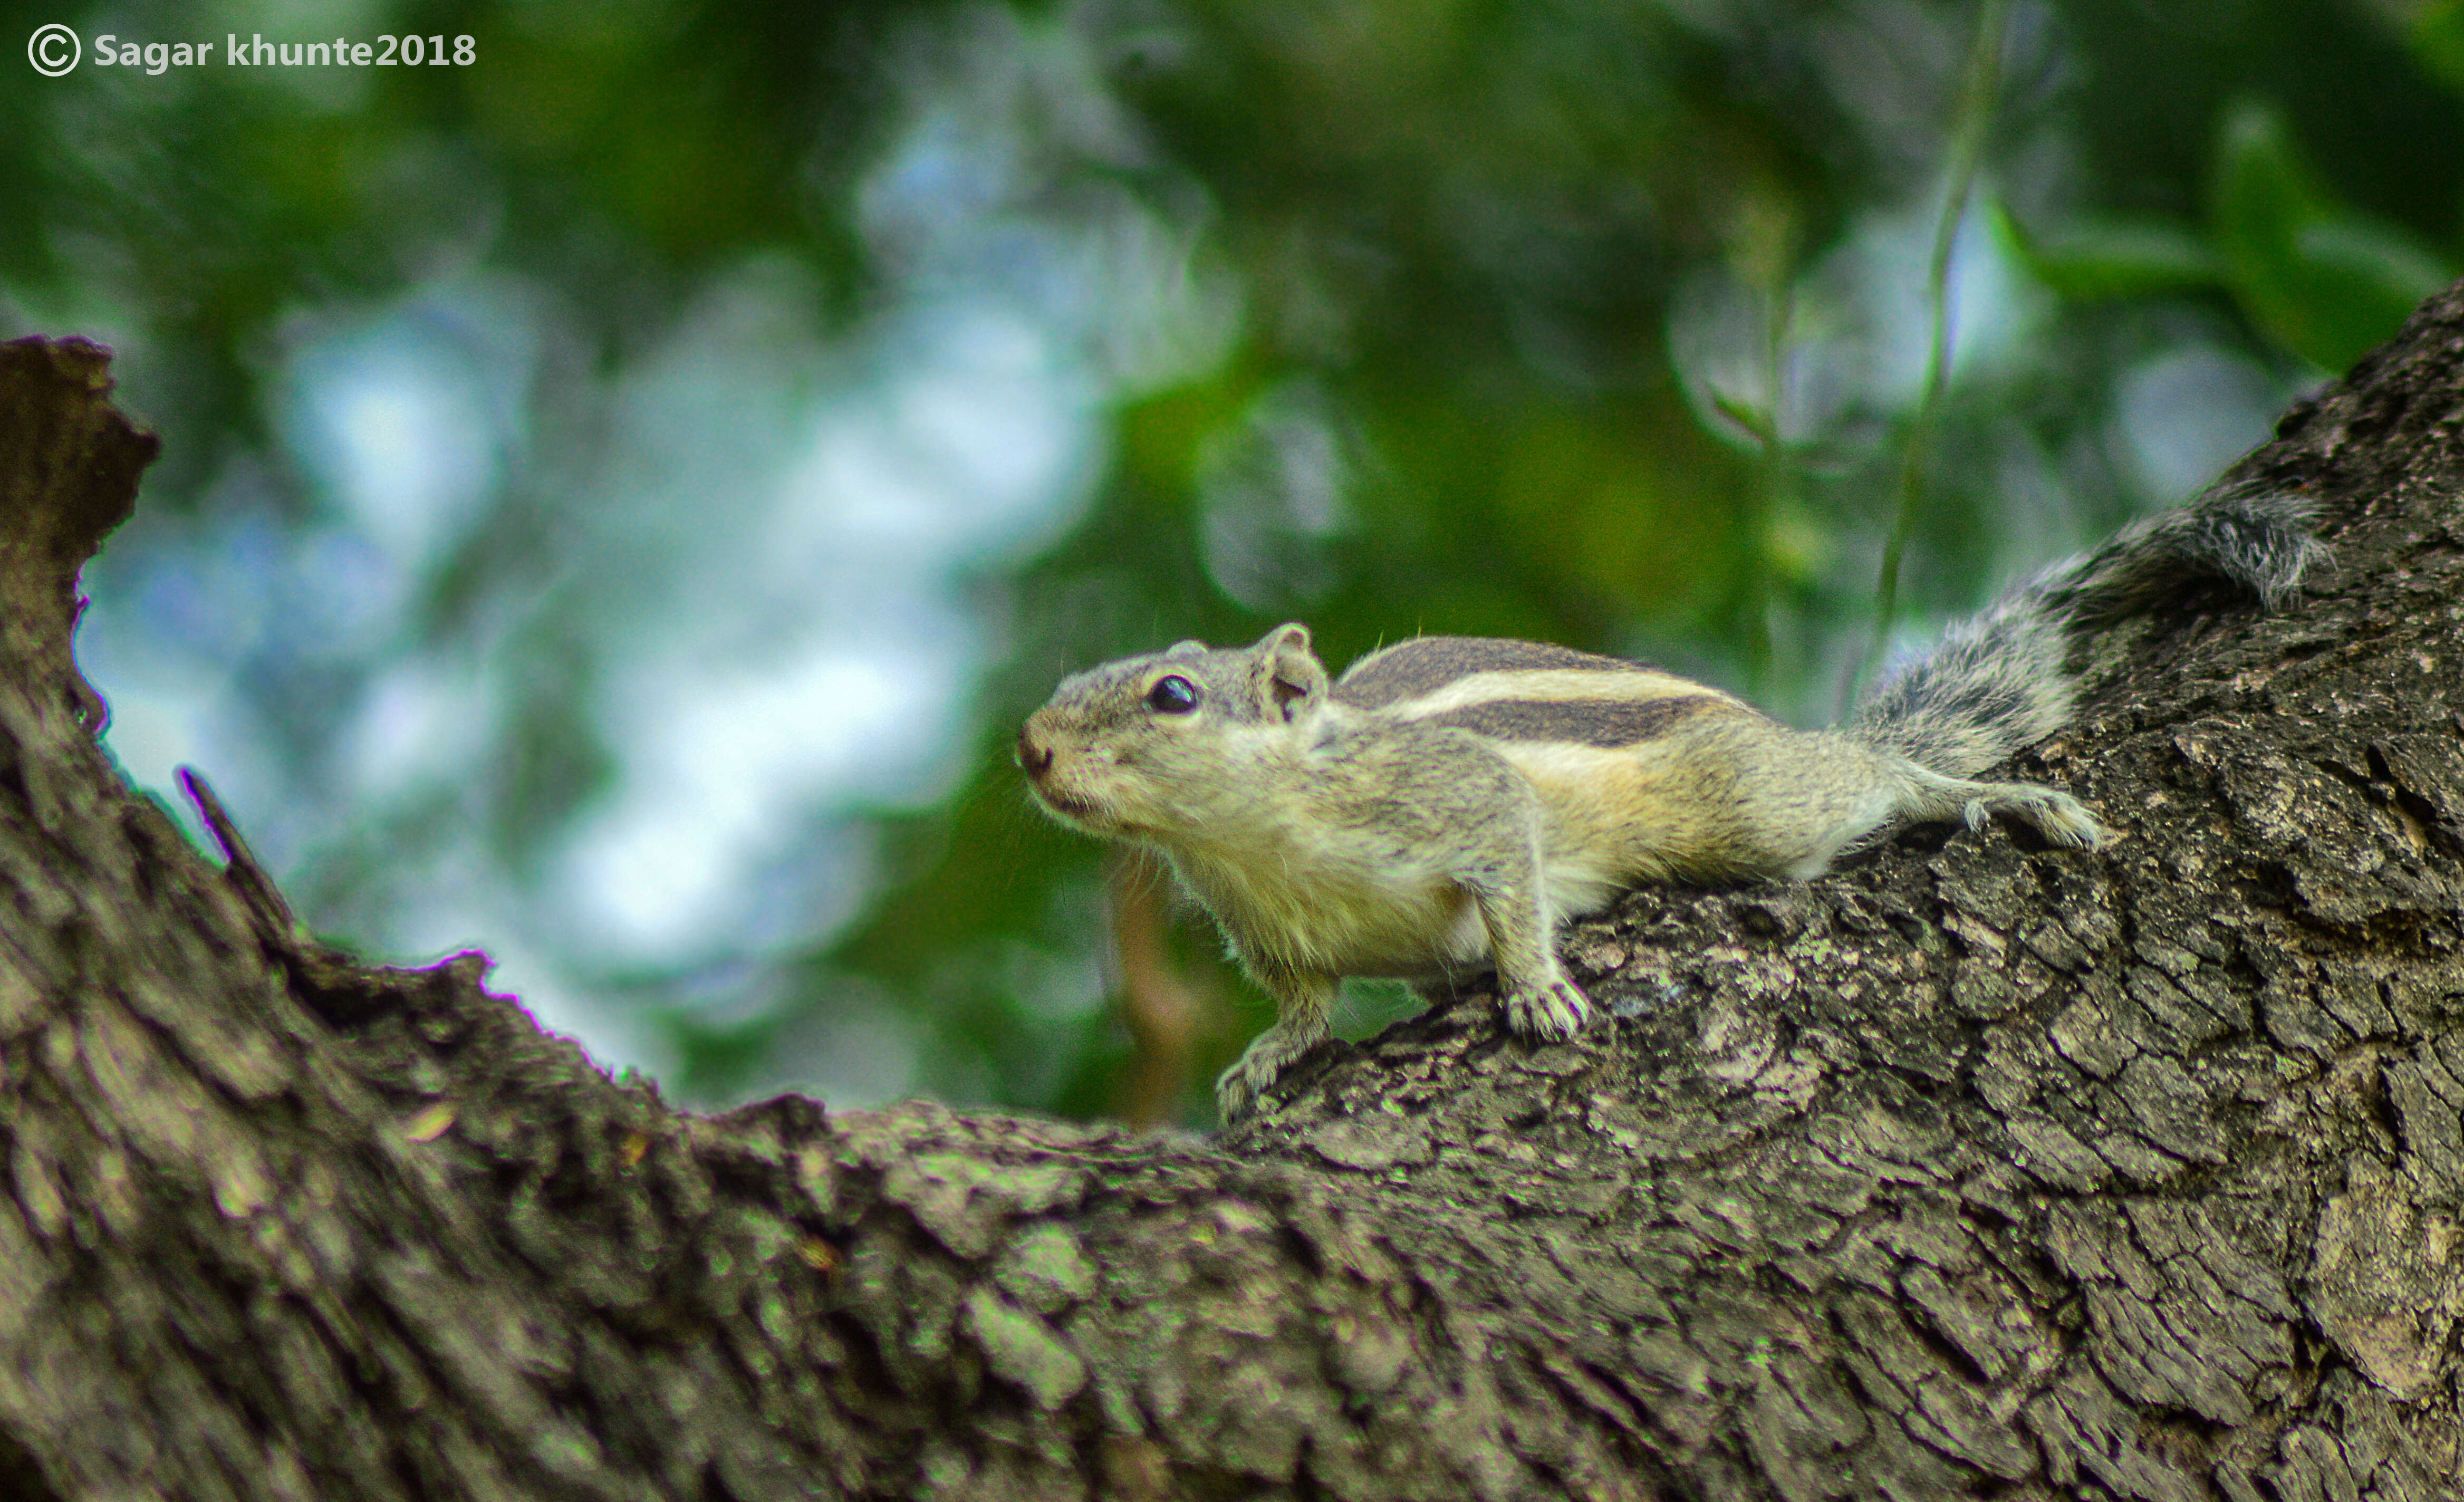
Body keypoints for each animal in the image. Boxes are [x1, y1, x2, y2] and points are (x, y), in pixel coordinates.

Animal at [1020, 473, 2326, 1118]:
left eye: (1173, 693)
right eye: (1071, 683)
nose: (1028, 749)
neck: (1256, 839)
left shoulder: (1463, 799)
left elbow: (1511, 878)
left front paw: (1535, 987)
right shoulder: (1273, 934)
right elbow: (1300, 1003)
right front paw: (1264, 1058)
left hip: (1755, 801)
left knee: (1872, 777)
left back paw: (1984, 796)